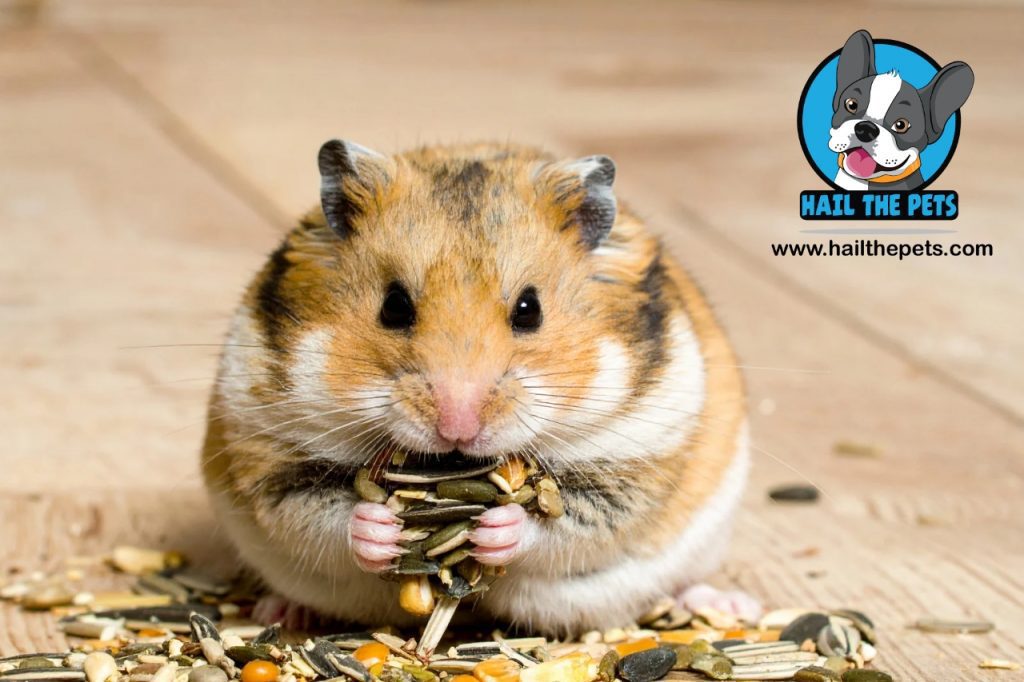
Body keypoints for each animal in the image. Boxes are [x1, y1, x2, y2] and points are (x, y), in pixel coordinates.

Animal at [201, 141, 753, 634]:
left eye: (530, 310)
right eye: (394, 306)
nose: (457, 427)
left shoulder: (634, 464)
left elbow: (562, 523)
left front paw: (494, 529)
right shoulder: (272, 453)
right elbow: (322, 515)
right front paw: (382, 529)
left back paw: (726, 605)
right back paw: (277, 611)